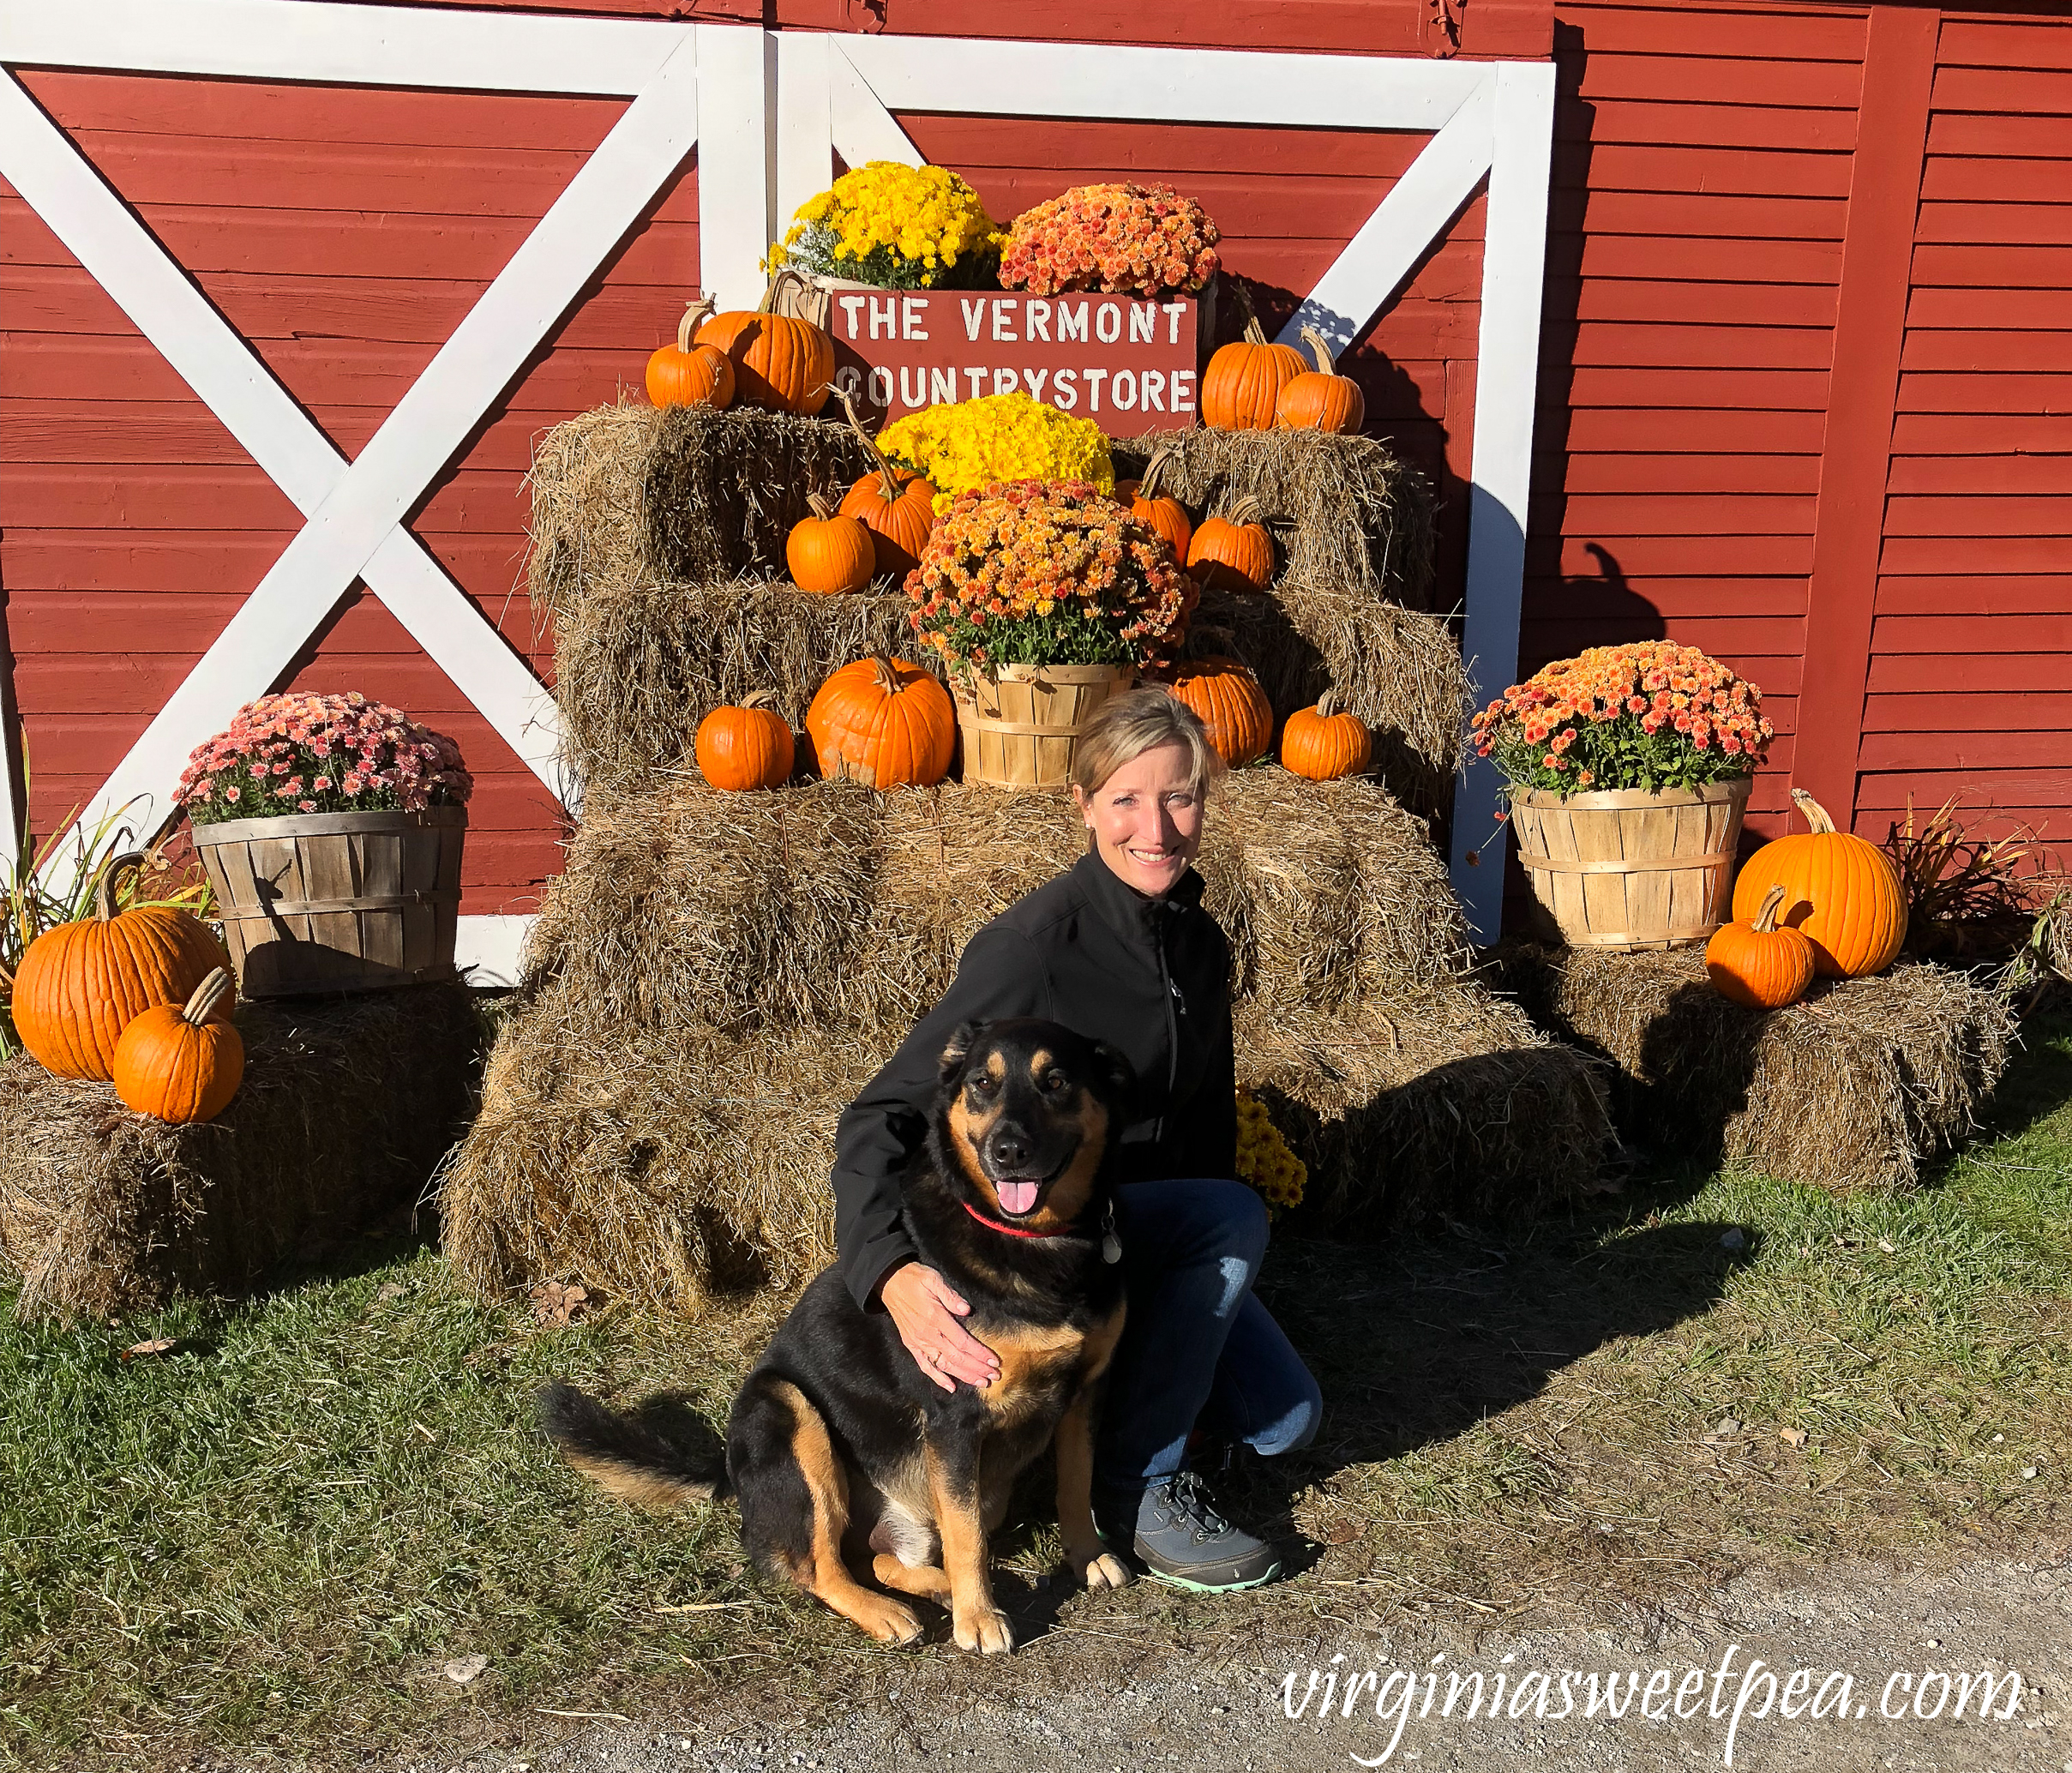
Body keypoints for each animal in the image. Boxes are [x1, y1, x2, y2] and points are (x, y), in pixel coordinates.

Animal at [538, 1019, 1135, 1656]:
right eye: (982, 1083)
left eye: (1056, 1081)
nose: (1008, 1152)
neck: (1032, 1242)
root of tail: (729, 1469)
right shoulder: (955, 1413)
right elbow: (967, 1532)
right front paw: (978, 1618)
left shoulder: (1087, 1392)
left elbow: (1075, 1482)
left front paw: (1087, 1556)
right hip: (789, 1416)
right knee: (819, 1567)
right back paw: (891, 1612)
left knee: (878, 1557)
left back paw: (935, 1585)